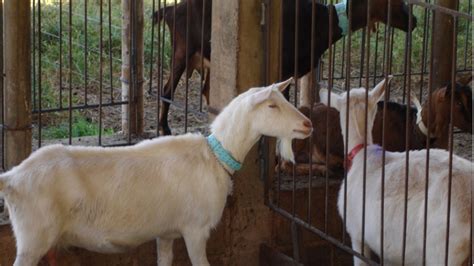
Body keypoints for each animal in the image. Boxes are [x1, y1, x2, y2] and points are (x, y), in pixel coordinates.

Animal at [0, 78, 312, 266]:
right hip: (32, 237)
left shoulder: (166, 233)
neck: (214, 156)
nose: (308, 124)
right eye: (271, 105)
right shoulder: (195, 230)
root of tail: (12, 177)